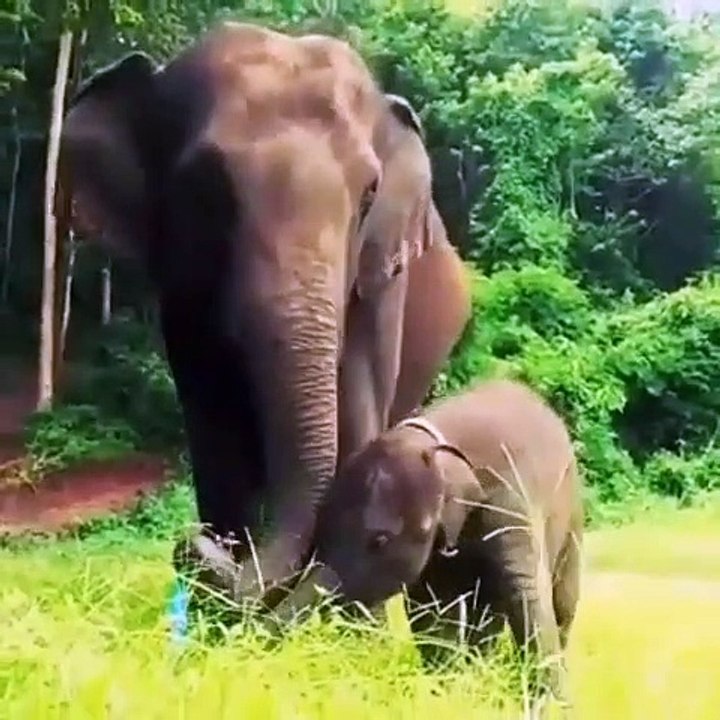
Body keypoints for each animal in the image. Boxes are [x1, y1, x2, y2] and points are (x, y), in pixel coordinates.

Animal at [57, 22, 470, 604]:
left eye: (370, 192)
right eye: (204, 187)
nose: (197, 544)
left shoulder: (384, 277)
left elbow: (359, 411)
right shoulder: (181, 294)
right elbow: (212, 421)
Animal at [270, 379, 583, 702]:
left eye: (379, 541)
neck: (431, 443)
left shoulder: (508, 501)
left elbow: (526, 594)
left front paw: (550, 702)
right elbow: (432, 610)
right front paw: (442, 687)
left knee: (560, 602)